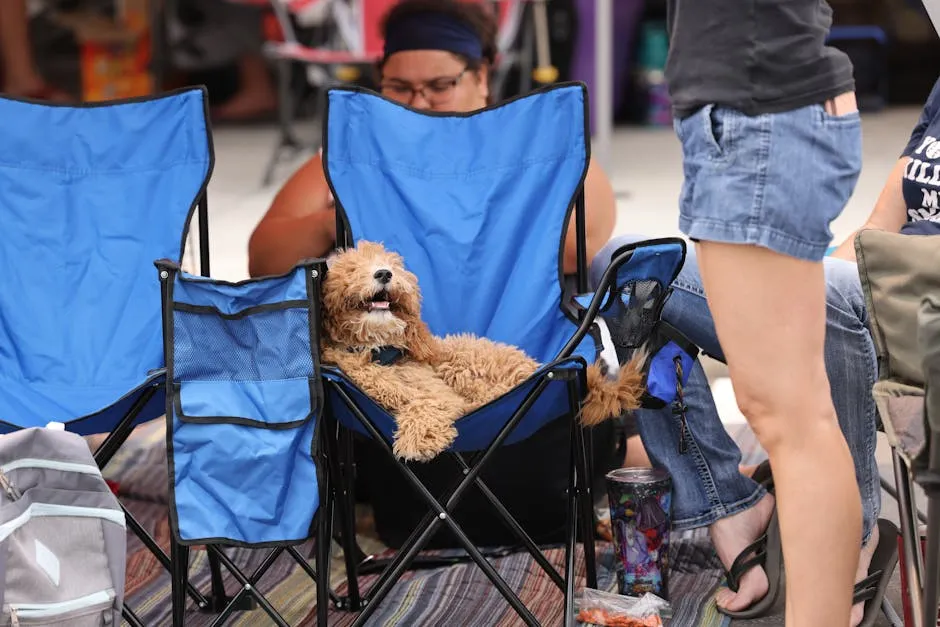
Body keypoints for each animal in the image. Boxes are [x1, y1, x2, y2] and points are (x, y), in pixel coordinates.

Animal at [324, 240, 648, 462]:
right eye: (352, 269)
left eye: (393, 265)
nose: (384, 273)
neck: (382, 352)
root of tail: (536, 367)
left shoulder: (441, 396)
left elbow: (425, 404)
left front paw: (417, 440)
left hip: (464, 362)